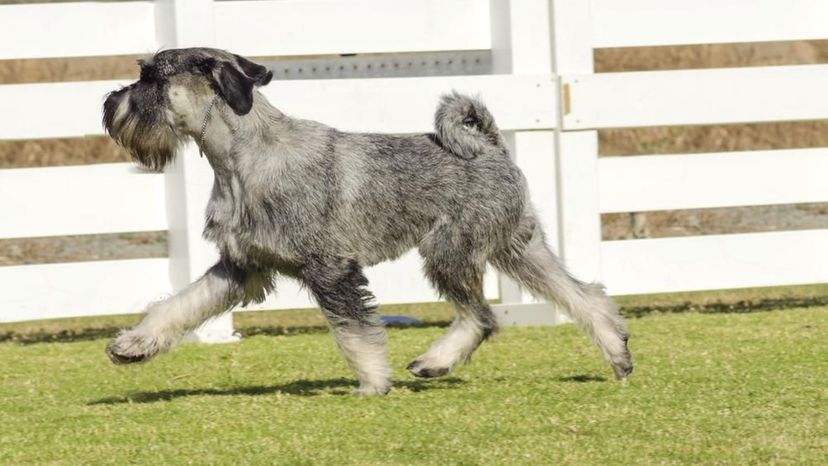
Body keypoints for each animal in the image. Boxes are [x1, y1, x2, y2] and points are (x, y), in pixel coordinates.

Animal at [103, 49, 632, 396]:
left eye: (151, 78)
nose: (109, 103)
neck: (241, 159)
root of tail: (491, 147)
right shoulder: (241, 267)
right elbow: (180, 305)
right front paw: (133, 344)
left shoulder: (330, 269)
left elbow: (354, 332)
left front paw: (374, 384)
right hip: (517, 249)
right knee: (583, 295)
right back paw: (617, 353)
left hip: (449, 251)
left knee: (481, 317)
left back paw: (434, 362)